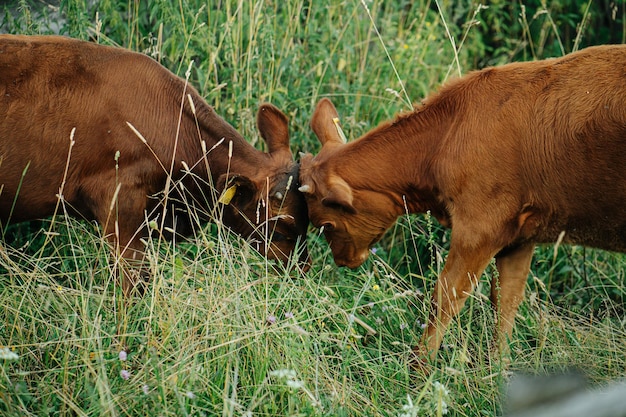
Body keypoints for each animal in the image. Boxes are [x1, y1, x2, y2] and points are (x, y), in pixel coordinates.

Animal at [296, 44, 624, 366]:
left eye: (325, 224)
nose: (342, 260)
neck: (444, 139)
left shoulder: (478, 229)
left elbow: (444, 297)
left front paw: (419, 370)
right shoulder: (518, 237)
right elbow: (505, 301)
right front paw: (497, 369)